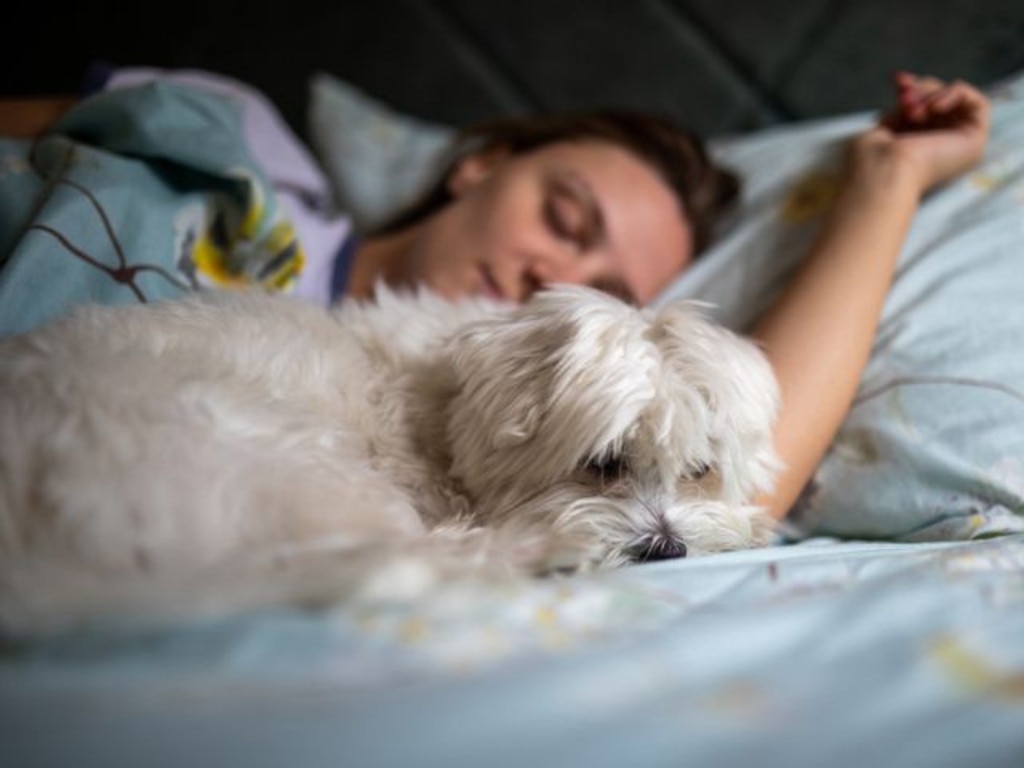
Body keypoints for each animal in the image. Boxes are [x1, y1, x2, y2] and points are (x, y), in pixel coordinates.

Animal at [0, 286, 778, 634]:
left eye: (700, 471)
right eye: (604, 462)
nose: (666, 548)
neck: (439, 410)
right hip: (289, 457)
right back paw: (544, 553)